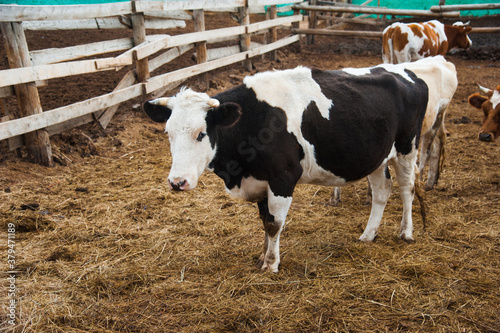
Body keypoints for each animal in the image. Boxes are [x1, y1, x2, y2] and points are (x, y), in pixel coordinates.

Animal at [144, 57, 454, 272]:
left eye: (201, 134)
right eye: (168, 133)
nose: (177, 182)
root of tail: (406, 73)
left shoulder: (282, 177)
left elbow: (274, 224)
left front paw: (271, 263)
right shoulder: (262, 180)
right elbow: (264, 220)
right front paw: (262, 255)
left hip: (407, 147)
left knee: (407, 188)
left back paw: (406, 232)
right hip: (377, 155)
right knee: (382, 191)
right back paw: (368, 234)